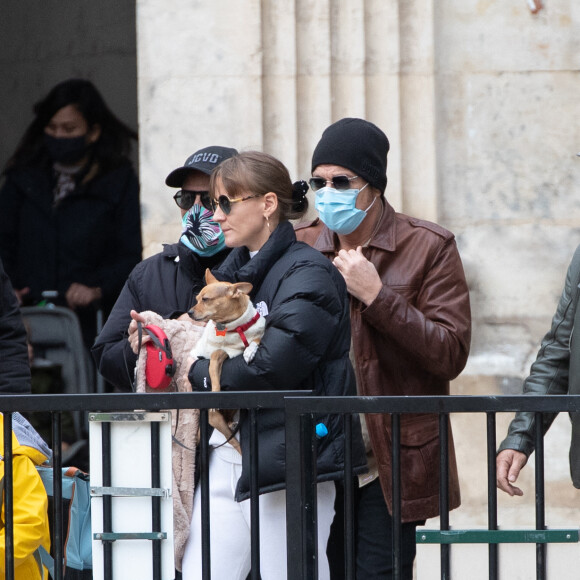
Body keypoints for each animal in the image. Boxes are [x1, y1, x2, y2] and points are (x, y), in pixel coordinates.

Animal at [188, 270, 266, 456]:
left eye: (205, 299)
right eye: (197, 299)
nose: (189, 312)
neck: (235, 327)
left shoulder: (255, 334)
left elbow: (256, 340)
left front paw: (250, 351)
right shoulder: (221, 353)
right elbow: (214, 361)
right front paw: (215, 390)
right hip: (215, 418)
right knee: (234, 442)